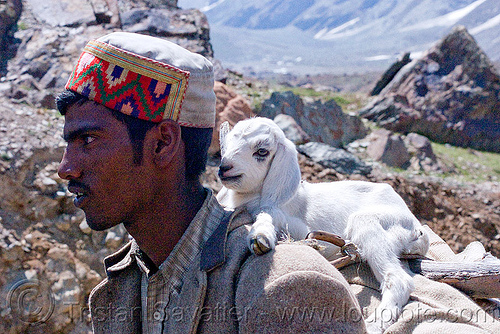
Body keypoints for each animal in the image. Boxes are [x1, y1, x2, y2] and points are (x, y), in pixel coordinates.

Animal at [217, 117, 432, 332]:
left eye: (262, 151)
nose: (224, 167)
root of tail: (418, 229)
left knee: (399, 280)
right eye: (230, 140)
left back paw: (375, 324)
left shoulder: (302, 229)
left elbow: (268, 213)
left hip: (375, 223)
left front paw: (260, 235)